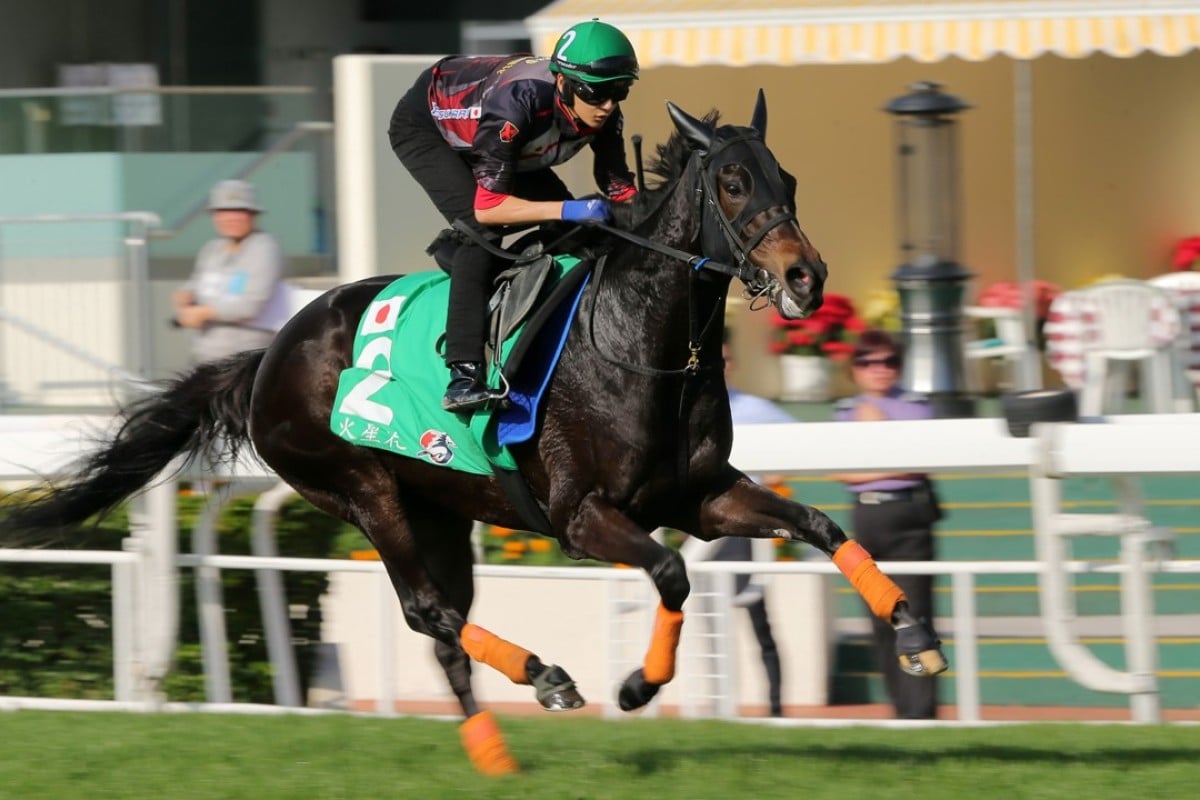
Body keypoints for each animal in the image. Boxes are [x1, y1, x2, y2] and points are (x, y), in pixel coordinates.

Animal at [7, 92, 945, 777]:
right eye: (734, 184)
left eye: (787, 176)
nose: (805, 277)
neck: (639, 341)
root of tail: (268, 352)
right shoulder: (581, 516)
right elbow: (673, 573)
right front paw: (637, 686)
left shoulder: (701, 494)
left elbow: (817, 524)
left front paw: (914, 633)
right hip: (362, 490)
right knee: (427, 610)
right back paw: (546, 680)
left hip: (440, 510)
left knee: (447, 624)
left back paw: (495, 750)